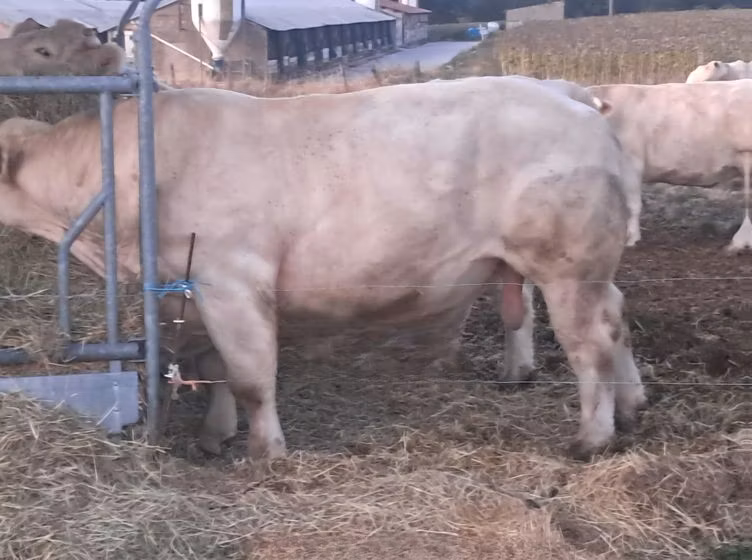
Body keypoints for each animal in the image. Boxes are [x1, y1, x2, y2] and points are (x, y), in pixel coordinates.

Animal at [0, 75, 647, 461]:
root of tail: (570, 97)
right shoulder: (187, 289)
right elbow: (210, 365)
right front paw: (214, 436)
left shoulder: (231, 281)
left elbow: (250, 375)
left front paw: (264, 453)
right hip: (580, 267)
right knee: (616, 318)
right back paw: (630, 403)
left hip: (567, 265)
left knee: (590, 343)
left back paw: (592, 436)